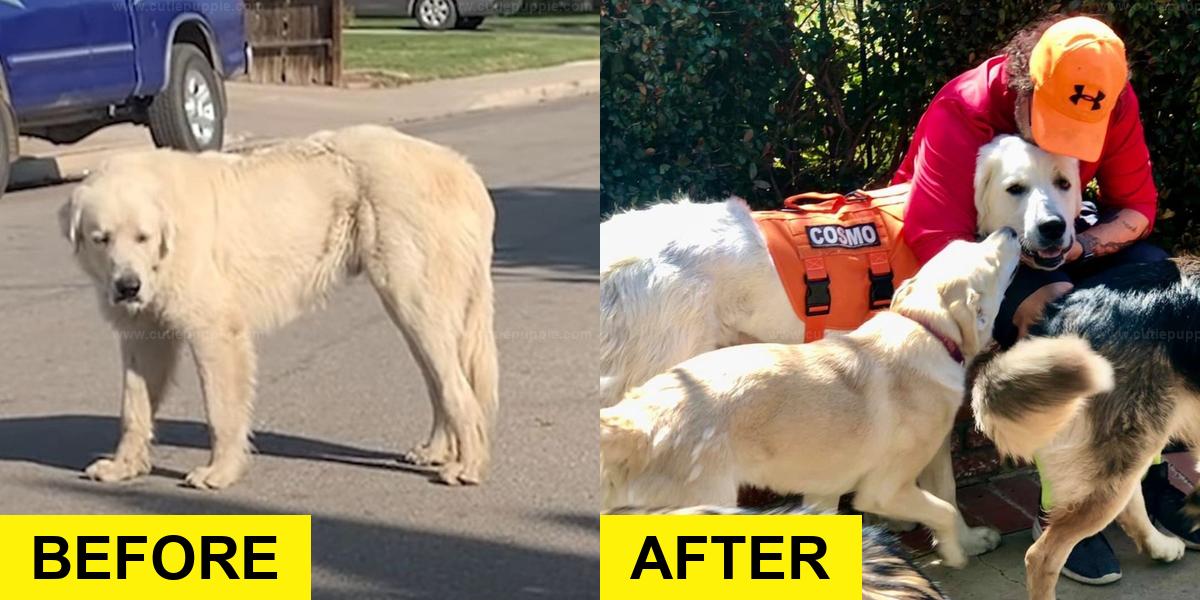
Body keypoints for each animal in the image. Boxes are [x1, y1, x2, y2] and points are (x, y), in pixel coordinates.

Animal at [59, 124, 501, 489]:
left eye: (143, 236)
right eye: (101, 238)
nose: (128, 287)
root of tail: (464, 170)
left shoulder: (216, 330)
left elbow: (221, 409)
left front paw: (219, 473)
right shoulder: (143, 334)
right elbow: (133, 406)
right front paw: (123, 466)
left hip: (413, 297)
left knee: (457, 387)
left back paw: (468, 466)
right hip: (413, 310)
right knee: (440, 381)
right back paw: (437, 450)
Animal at [600, 229, 1060, 566]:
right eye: (989, 262)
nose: (1008, 230)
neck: (923, 328)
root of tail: (635, 420)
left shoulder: (825, 488)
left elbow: (944, 495)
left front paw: (967, 540)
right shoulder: (883, 487)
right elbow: (943, 507)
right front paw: (953, 551)